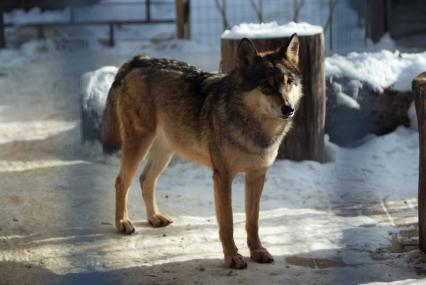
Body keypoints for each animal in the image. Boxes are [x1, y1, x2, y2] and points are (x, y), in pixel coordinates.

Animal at [99, 34, 302, 268]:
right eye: (266, 86)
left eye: (289, 82)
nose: (288, 109)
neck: (256, 128)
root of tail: (140, 59)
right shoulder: (223, 177)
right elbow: (228, 222)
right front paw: (232, 257)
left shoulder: (256, 175)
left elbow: (253, 221)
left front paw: (258, 251)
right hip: (139, 143)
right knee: (122, 181)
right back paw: (122, 222)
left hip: (165, 152)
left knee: (145, 179)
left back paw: (154, 218)